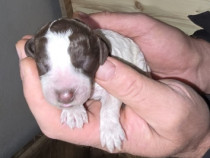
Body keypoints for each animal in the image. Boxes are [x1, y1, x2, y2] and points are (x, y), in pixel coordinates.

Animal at [24, 17, 149, 151]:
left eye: (84, 61)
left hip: (141, 61)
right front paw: (73, 111)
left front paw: (111, 132)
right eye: (43, 64)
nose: (65, 96)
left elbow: (109, 106)